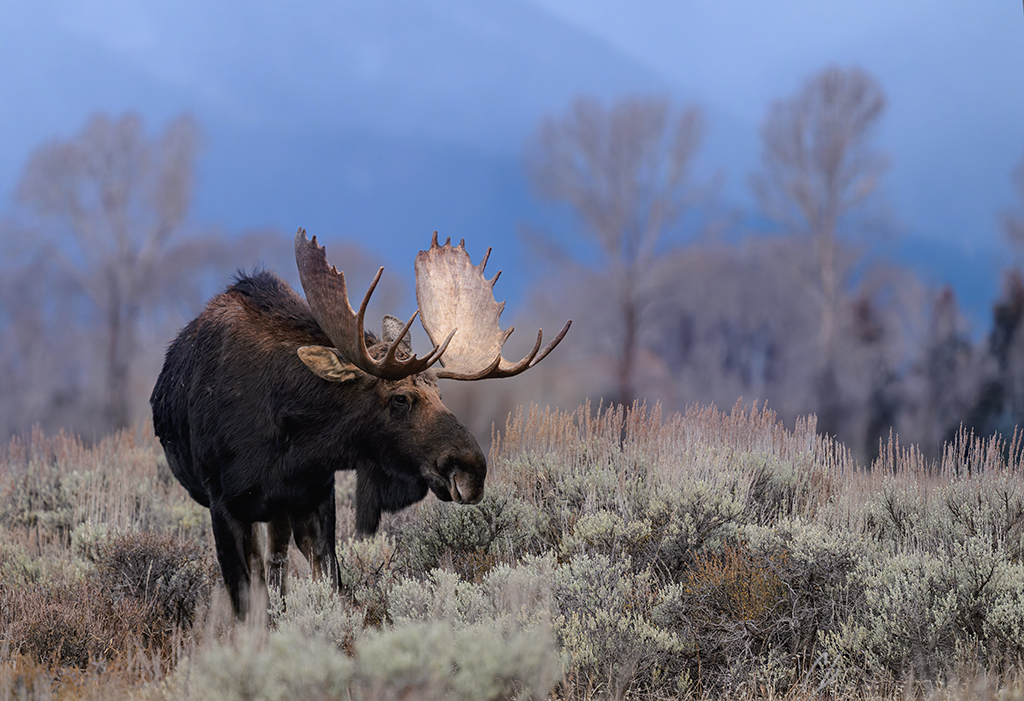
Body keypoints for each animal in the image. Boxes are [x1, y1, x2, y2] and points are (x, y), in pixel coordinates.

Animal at [150, 229, 569, 617]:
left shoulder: (316, 492)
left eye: (440, 393)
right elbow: (248, 609)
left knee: (278, 564)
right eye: (400, 398)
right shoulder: (224, 504)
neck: (288, 442)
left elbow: (329, 587)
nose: (472, 469)